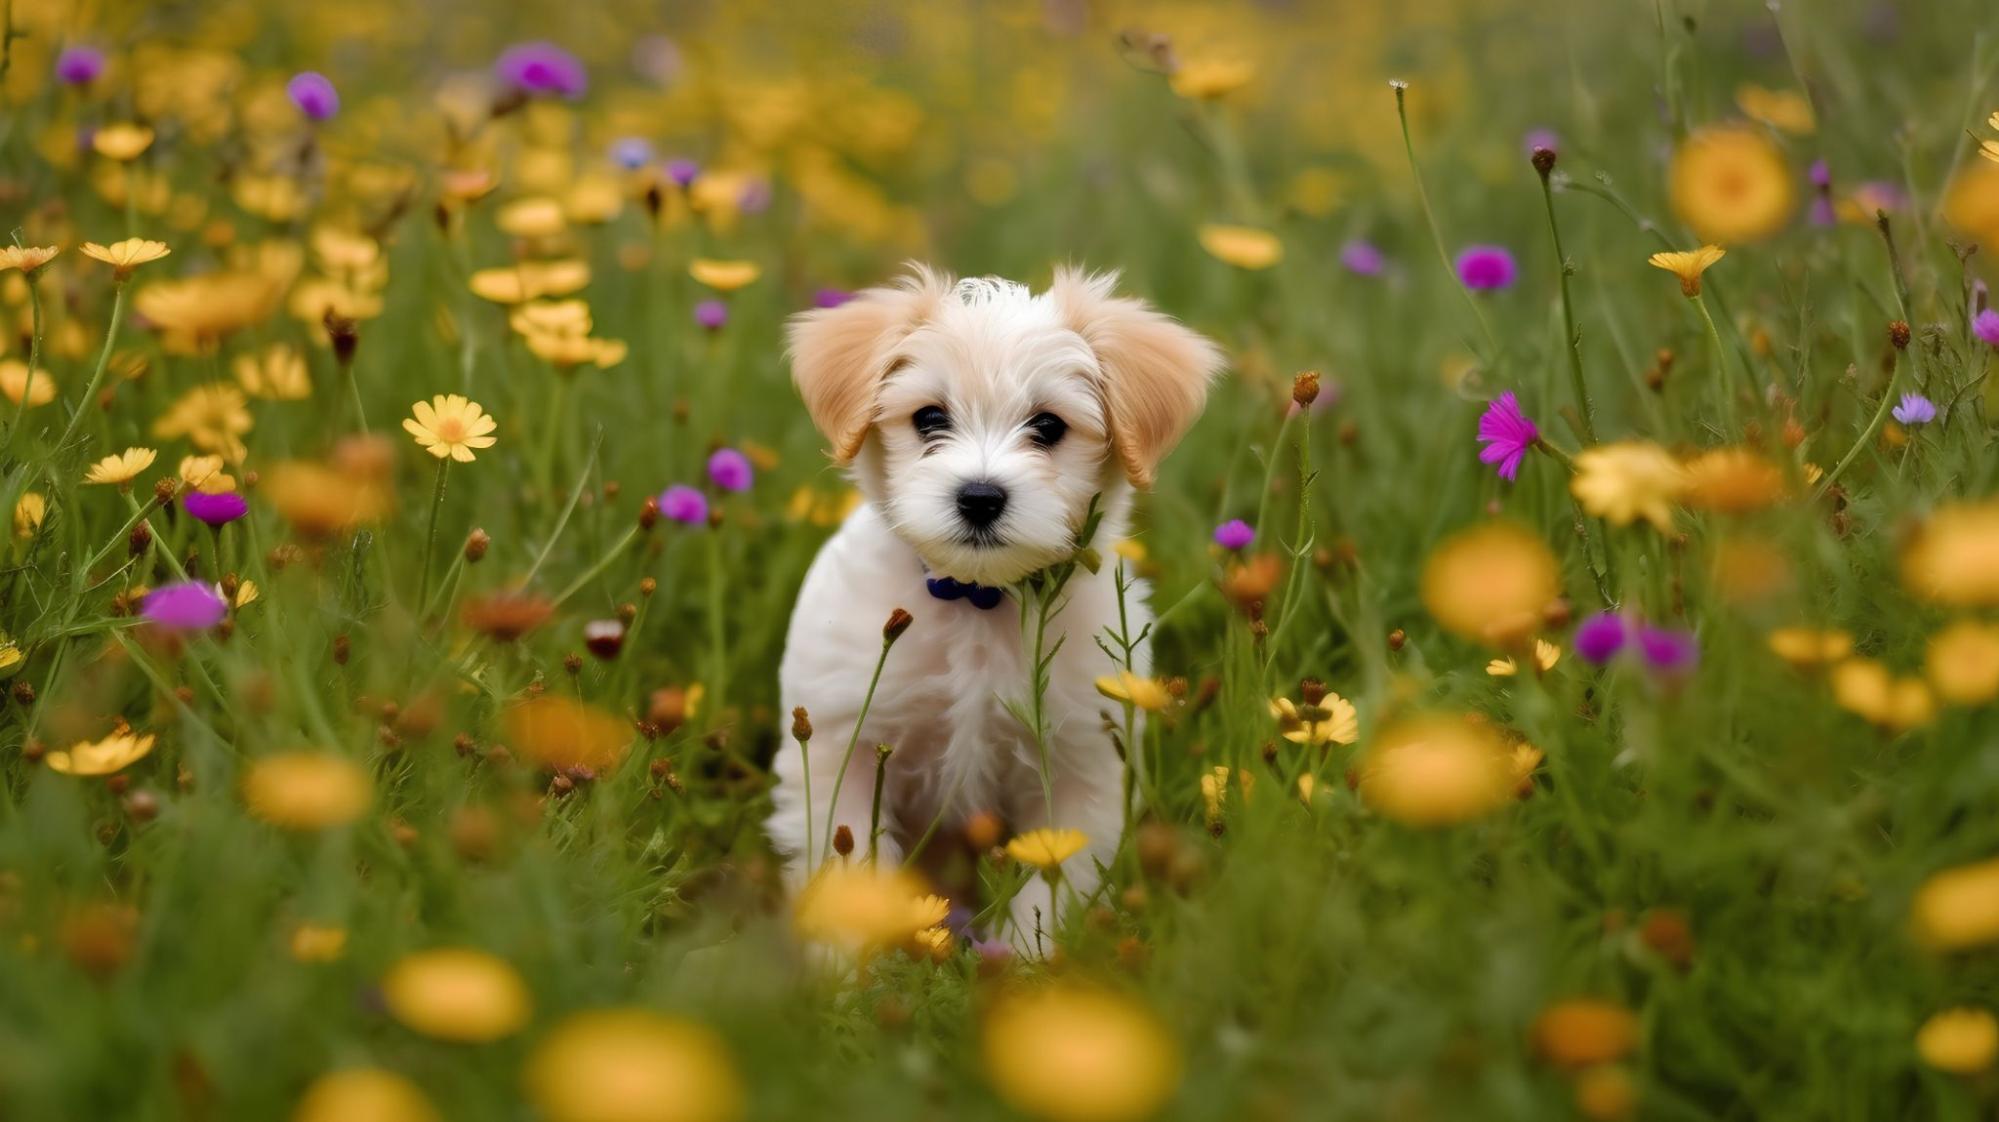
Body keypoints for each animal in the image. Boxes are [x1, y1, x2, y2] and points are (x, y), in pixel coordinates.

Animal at [771, 266, 1223, 940]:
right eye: (930, 418)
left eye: (1048, 427)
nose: (980, 497)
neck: (975, 603)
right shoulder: (838, 746)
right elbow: (844, 867)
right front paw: (848, 960)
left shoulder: (1081, 768)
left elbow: (1050, 887)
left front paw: (1024, 958)